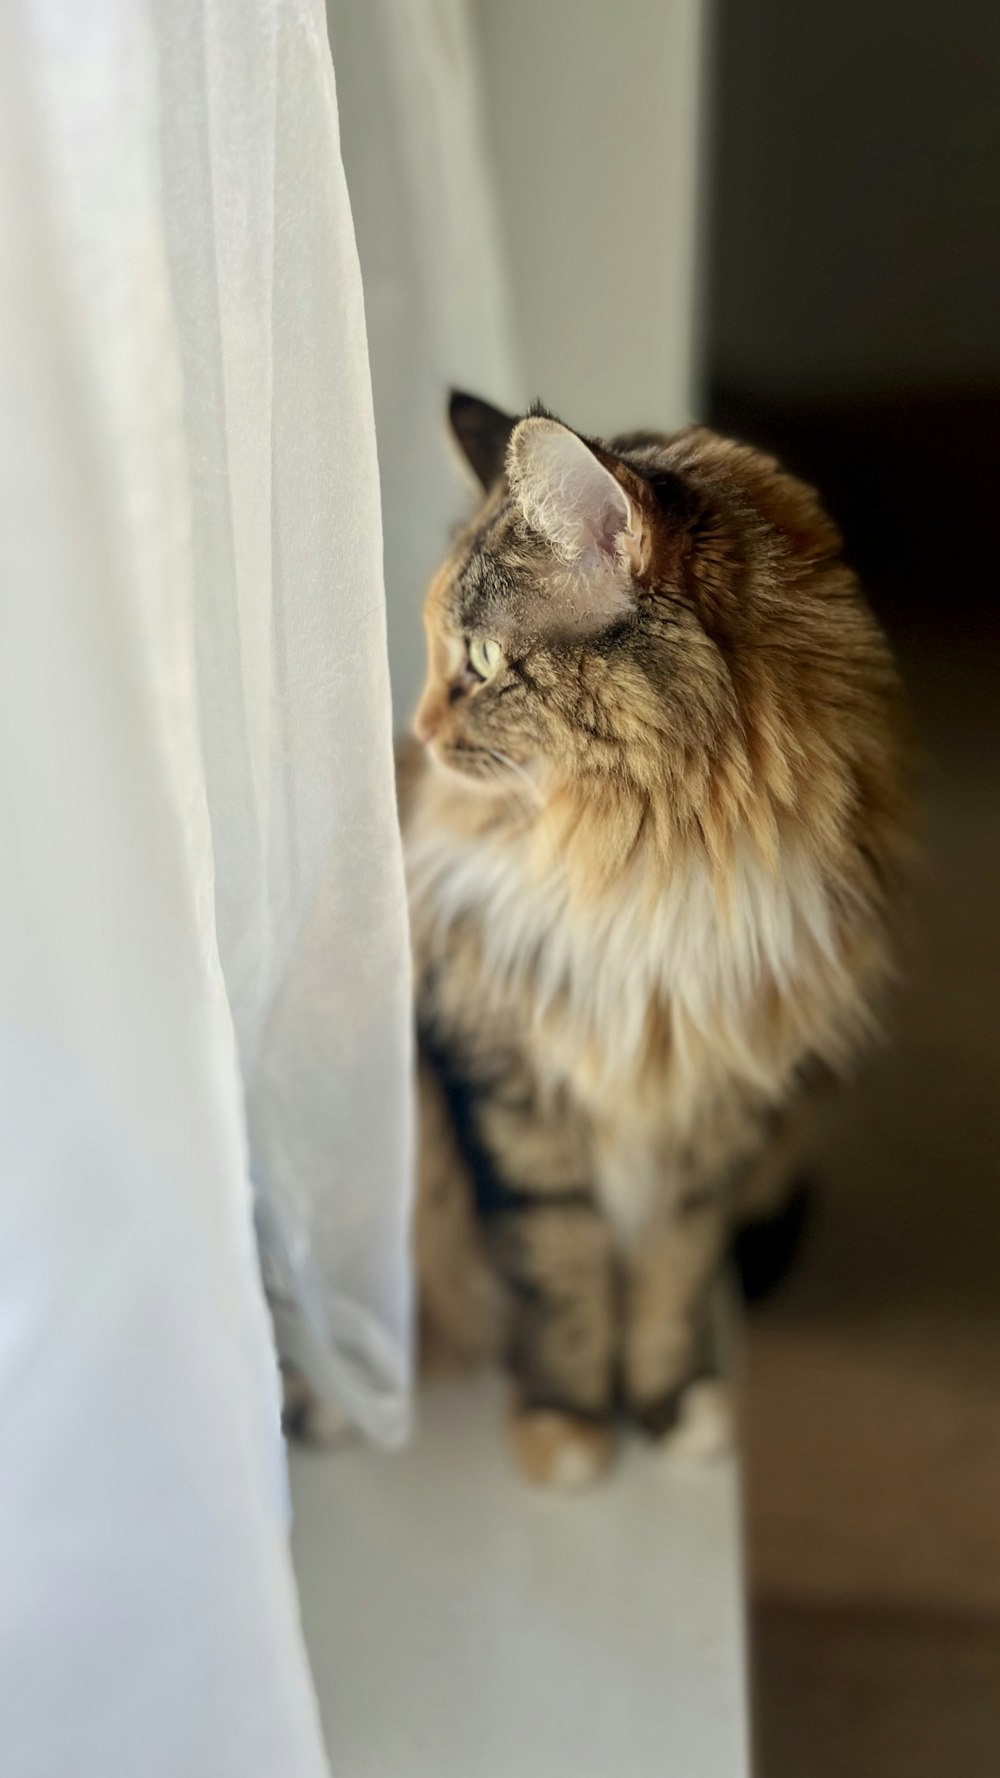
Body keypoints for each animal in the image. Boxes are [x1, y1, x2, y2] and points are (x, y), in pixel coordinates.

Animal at [398, 389, 911, 1486]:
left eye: (483, 661)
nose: (418, 731)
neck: (648, 874)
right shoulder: (508, 1092)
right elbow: (562, 1277)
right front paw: (567, 1431)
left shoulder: (723, 1105)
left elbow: (674, 1277)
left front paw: (672, 1410)